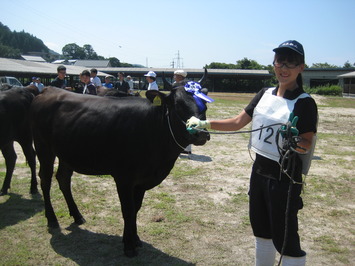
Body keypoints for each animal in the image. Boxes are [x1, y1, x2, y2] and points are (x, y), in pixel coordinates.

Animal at [30, 86, 210, 256]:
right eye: (178, 104)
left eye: (205, 105)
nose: (201, 133)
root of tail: (49, 89)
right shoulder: (124, 178)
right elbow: (128, 210)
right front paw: (128, 246)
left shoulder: (141, 181)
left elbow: (136, 209)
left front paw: (134, 239)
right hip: (43, 147)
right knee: (45, 180)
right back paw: (52, 219)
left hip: (66, 153)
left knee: (63, 179)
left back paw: (77, 215)